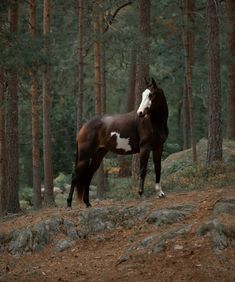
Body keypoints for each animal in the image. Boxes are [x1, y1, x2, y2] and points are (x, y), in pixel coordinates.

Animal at [67, 77, 168, 207]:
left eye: (151, 95)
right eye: (143, 95)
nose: (140, 113)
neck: (153, 123)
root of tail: (83, 128)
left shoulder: (159, 147)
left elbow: (158, 168)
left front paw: (160, 193)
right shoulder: (145, 148)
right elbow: (142, 170)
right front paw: (141, 194)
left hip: (98, 155)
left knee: (88, 176)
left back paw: (88, 203)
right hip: (84, 157)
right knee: (75, 176)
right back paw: (69, 204)